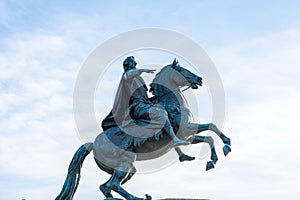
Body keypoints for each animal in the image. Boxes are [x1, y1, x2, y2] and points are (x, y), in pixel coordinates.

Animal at [54, 59, 232, 200]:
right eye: (181, 69)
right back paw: (138, 198)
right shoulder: (186, 131)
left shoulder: (189, 136)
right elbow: (211, 129)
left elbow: (209, 133)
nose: (199, 79)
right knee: (113, 184)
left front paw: (216, 156)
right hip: (126, 161)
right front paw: (222, 150)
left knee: (106, 187)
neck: (171, 102)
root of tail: (92, 144)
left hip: (127, 168)